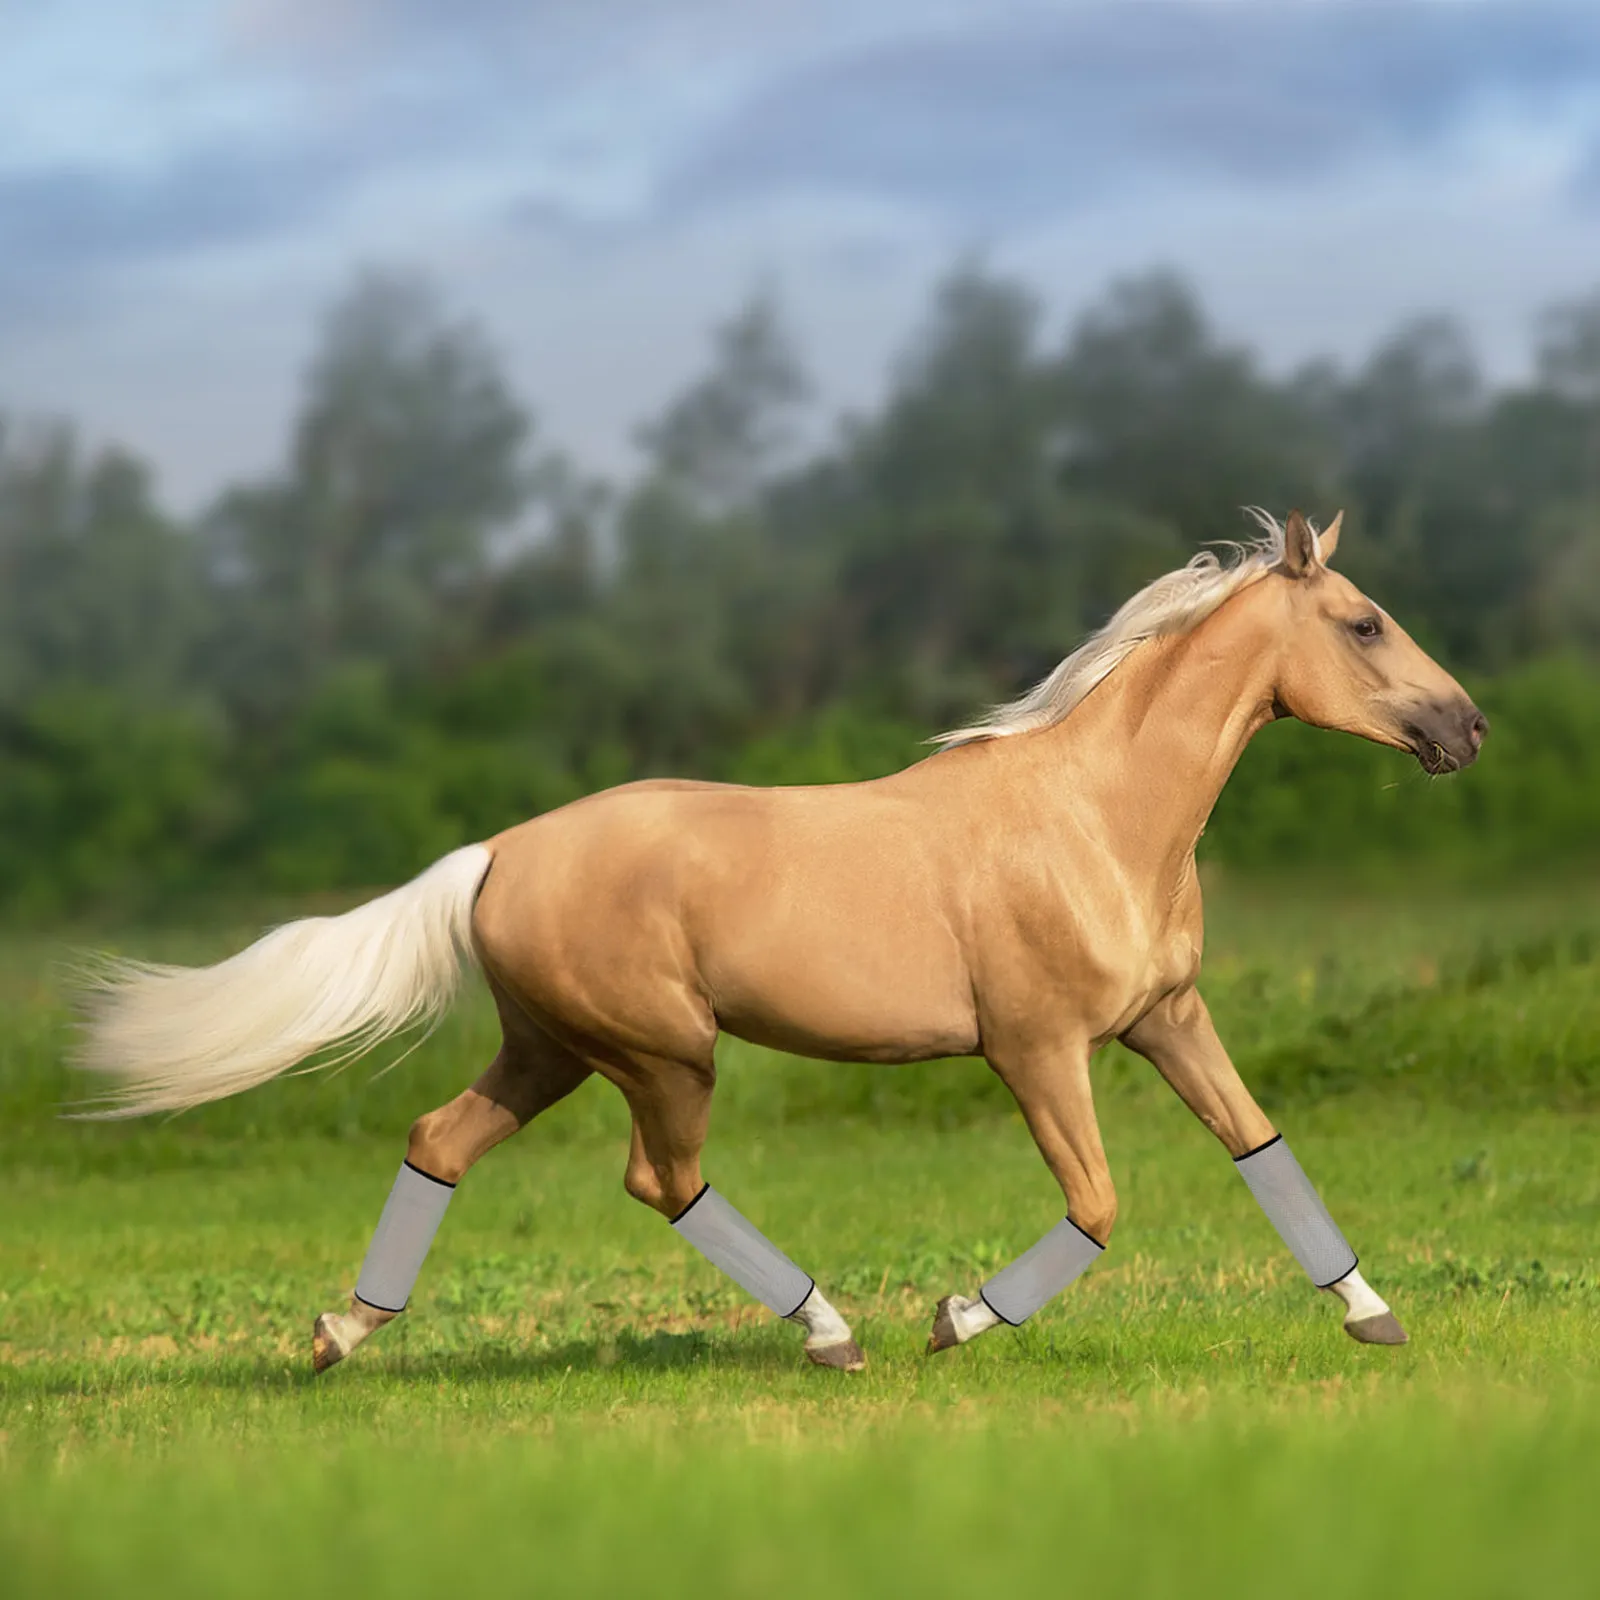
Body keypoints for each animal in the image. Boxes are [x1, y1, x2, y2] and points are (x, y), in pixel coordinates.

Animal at [79, 509, 1486, 1374]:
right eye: (1364, 622)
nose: (1465, 728)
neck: (1095, 817)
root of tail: (497, 851)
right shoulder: (1037, 1048)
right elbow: (1094, 1204)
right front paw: (954, 1319)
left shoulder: (1165, 1019)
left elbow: (1259, 1144)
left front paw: (1373, 1316)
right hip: (661, 1054)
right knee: (661, 1179)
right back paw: (833, 1332)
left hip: (553, 1050)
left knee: (442, 1141)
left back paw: (340, 1333)